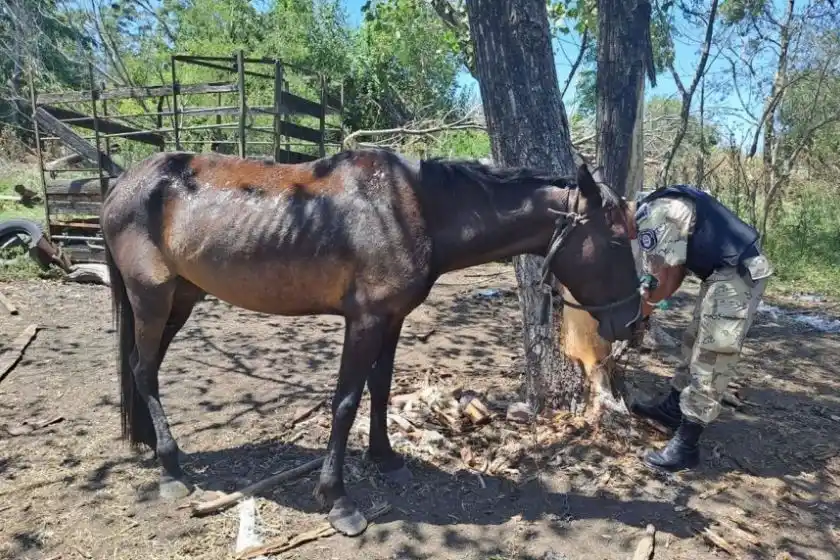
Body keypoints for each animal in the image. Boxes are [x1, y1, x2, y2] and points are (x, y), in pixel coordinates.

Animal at [101, 148, 642, 537]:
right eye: (617, 239)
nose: (633, 321)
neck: (410, 209)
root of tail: (121, 185)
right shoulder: (363, 321)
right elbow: (345, 402)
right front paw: (336, 498)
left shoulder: (392, 318)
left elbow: (379, 389)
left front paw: (384, 458)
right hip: (152, 298)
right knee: (144, 369)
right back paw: (170, 467)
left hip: (181, 298)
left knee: (144, 367)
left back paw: (151, 444)